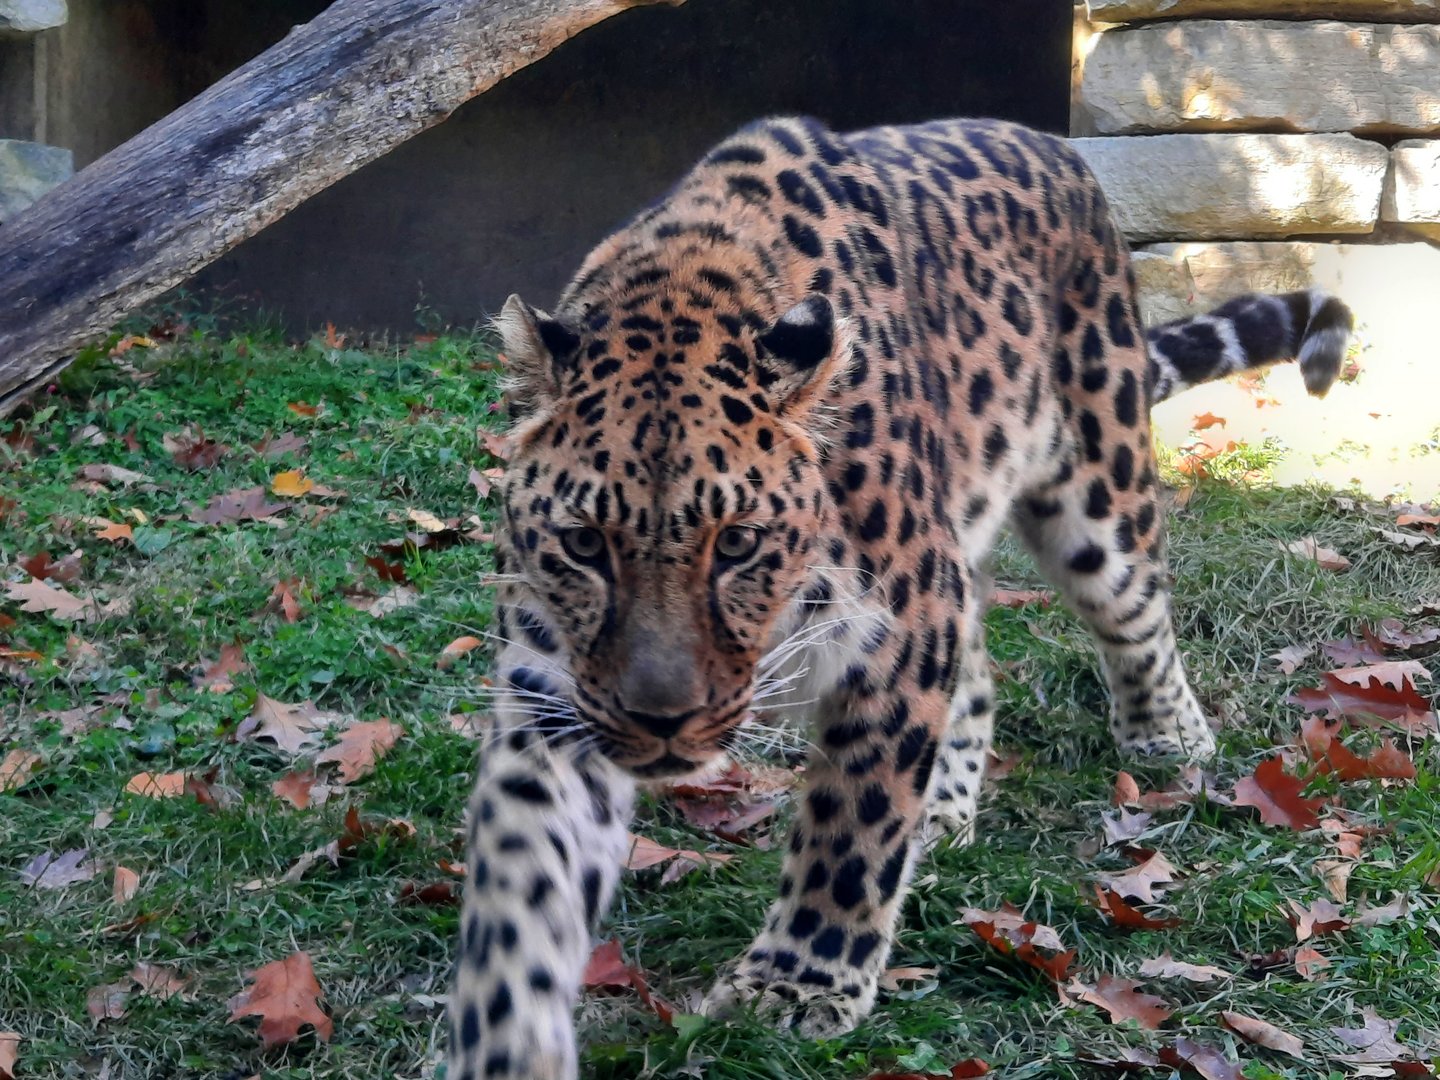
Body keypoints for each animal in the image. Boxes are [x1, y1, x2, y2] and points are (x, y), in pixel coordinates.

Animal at [444, 115, 1353, 1080]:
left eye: (737, 544)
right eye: (584, 544)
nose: (663, 721)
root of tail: (1053, 145)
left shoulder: (900, 624)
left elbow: (855, 823)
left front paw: (798, 983)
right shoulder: (553, 690)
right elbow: (519, 884)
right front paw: (506, 1044)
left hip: (1094, 488)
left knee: (1134, 611)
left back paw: (1167, 736)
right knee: (980, 675)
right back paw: (946, 811)